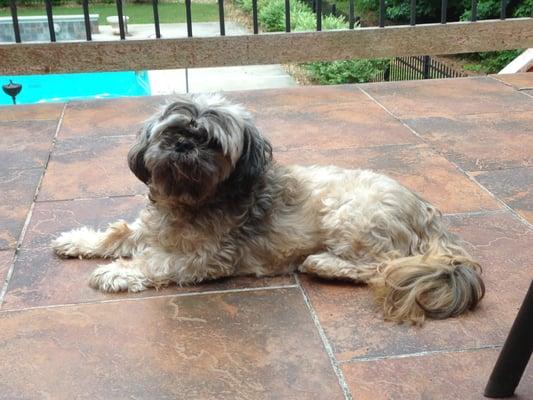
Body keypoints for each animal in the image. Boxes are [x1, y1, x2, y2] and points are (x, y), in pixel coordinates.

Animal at [52, 94, 484, 324]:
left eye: (211, 142)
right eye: (171, 131)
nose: (183, 145)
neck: (191, 200)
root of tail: (428, 214)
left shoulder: (208, 257)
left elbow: (156, 261)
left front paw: (117, 272)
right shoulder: (152, 227)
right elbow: (118, 232)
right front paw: (78, 241)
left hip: (351, 215)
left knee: (381, 266)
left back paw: (324, 264)